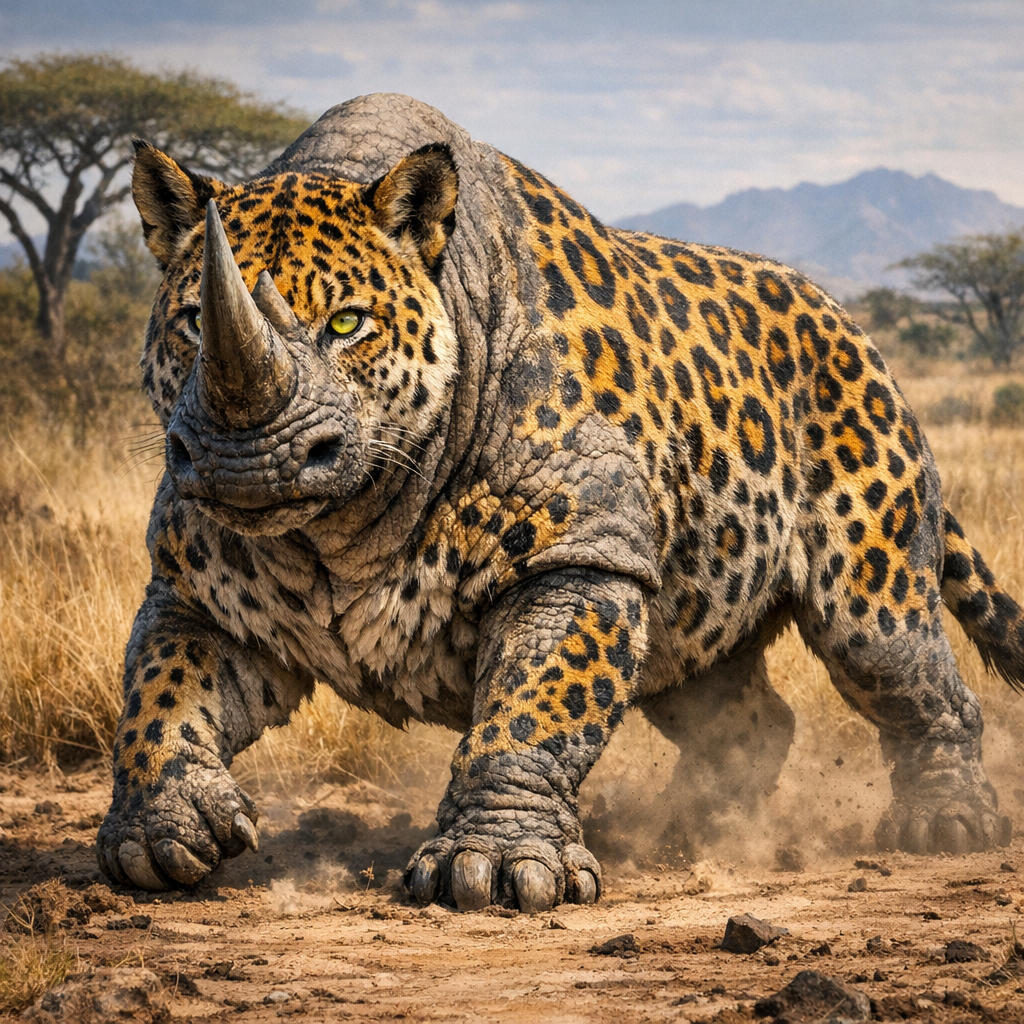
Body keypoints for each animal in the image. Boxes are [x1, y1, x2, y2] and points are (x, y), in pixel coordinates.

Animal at [97, 93, 1024, 913]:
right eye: (193, 320)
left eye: (349, 323)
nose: (243, 458)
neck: (346, 531)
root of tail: (854, 327)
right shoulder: (198, 589)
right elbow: (160, 691)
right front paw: (159, 838)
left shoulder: (577, 554)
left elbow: (534, 702)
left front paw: (494, 868)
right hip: (691, 607)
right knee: (736, 708)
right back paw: (691, 829)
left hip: (867, 574)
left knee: (902, 666)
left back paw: (946, 826)